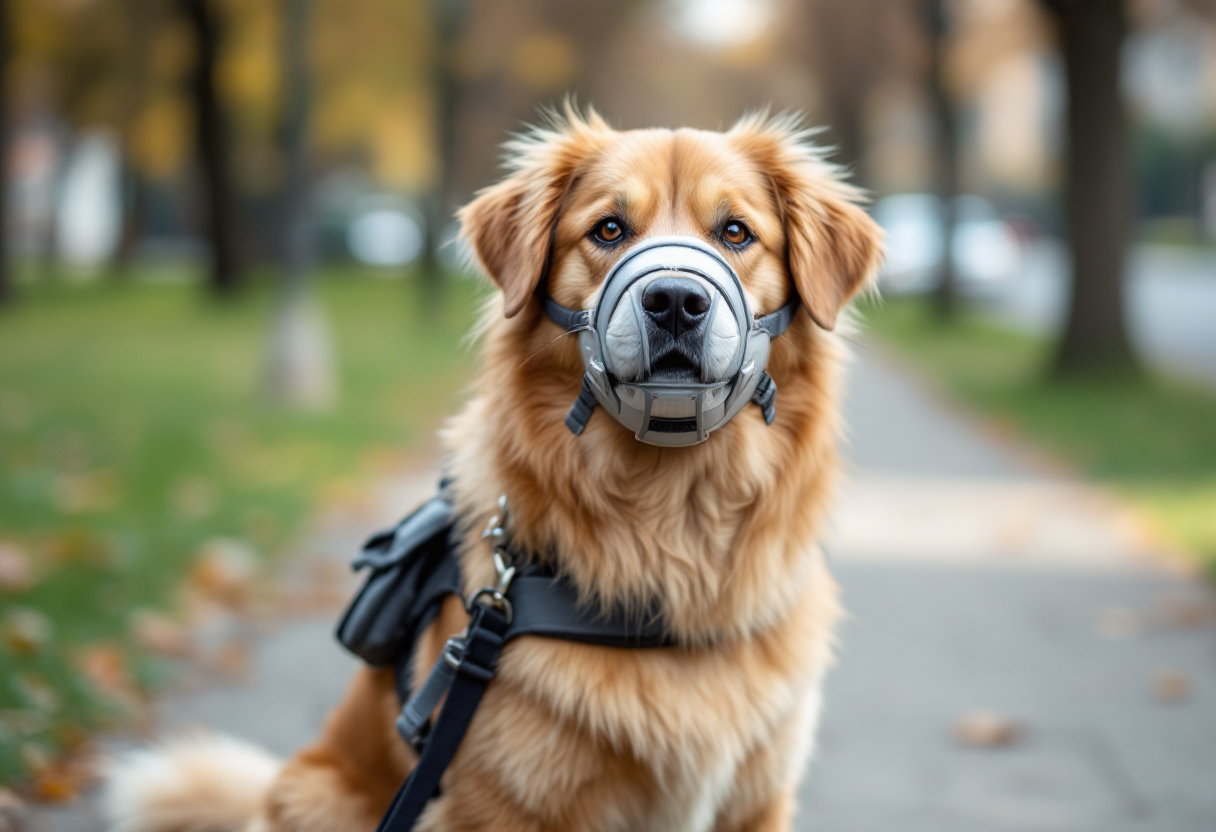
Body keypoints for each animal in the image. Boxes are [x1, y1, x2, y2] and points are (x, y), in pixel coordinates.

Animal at [102, 108, 885, 832]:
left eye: (736, 233)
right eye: (608, 230)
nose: (674, 301)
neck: (670, 526)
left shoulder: (756, 802)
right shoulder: (499, 808)